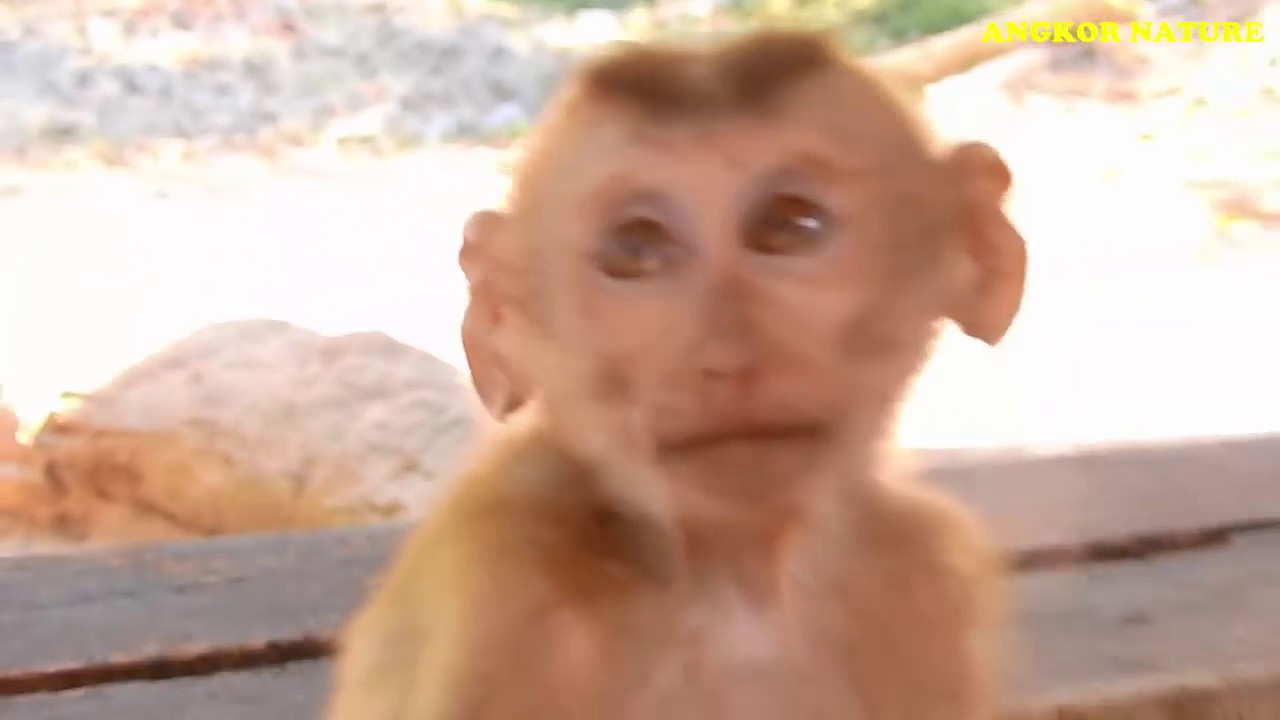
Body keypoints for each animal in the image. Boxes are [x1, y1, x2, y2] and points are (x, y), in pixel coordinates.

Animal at [328, 28, 1026, 720]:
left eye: (792, 224)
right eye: (636, 249)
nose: (726, 357)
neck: (740, 585)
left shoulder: (922, 576)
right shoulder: (500, 583)